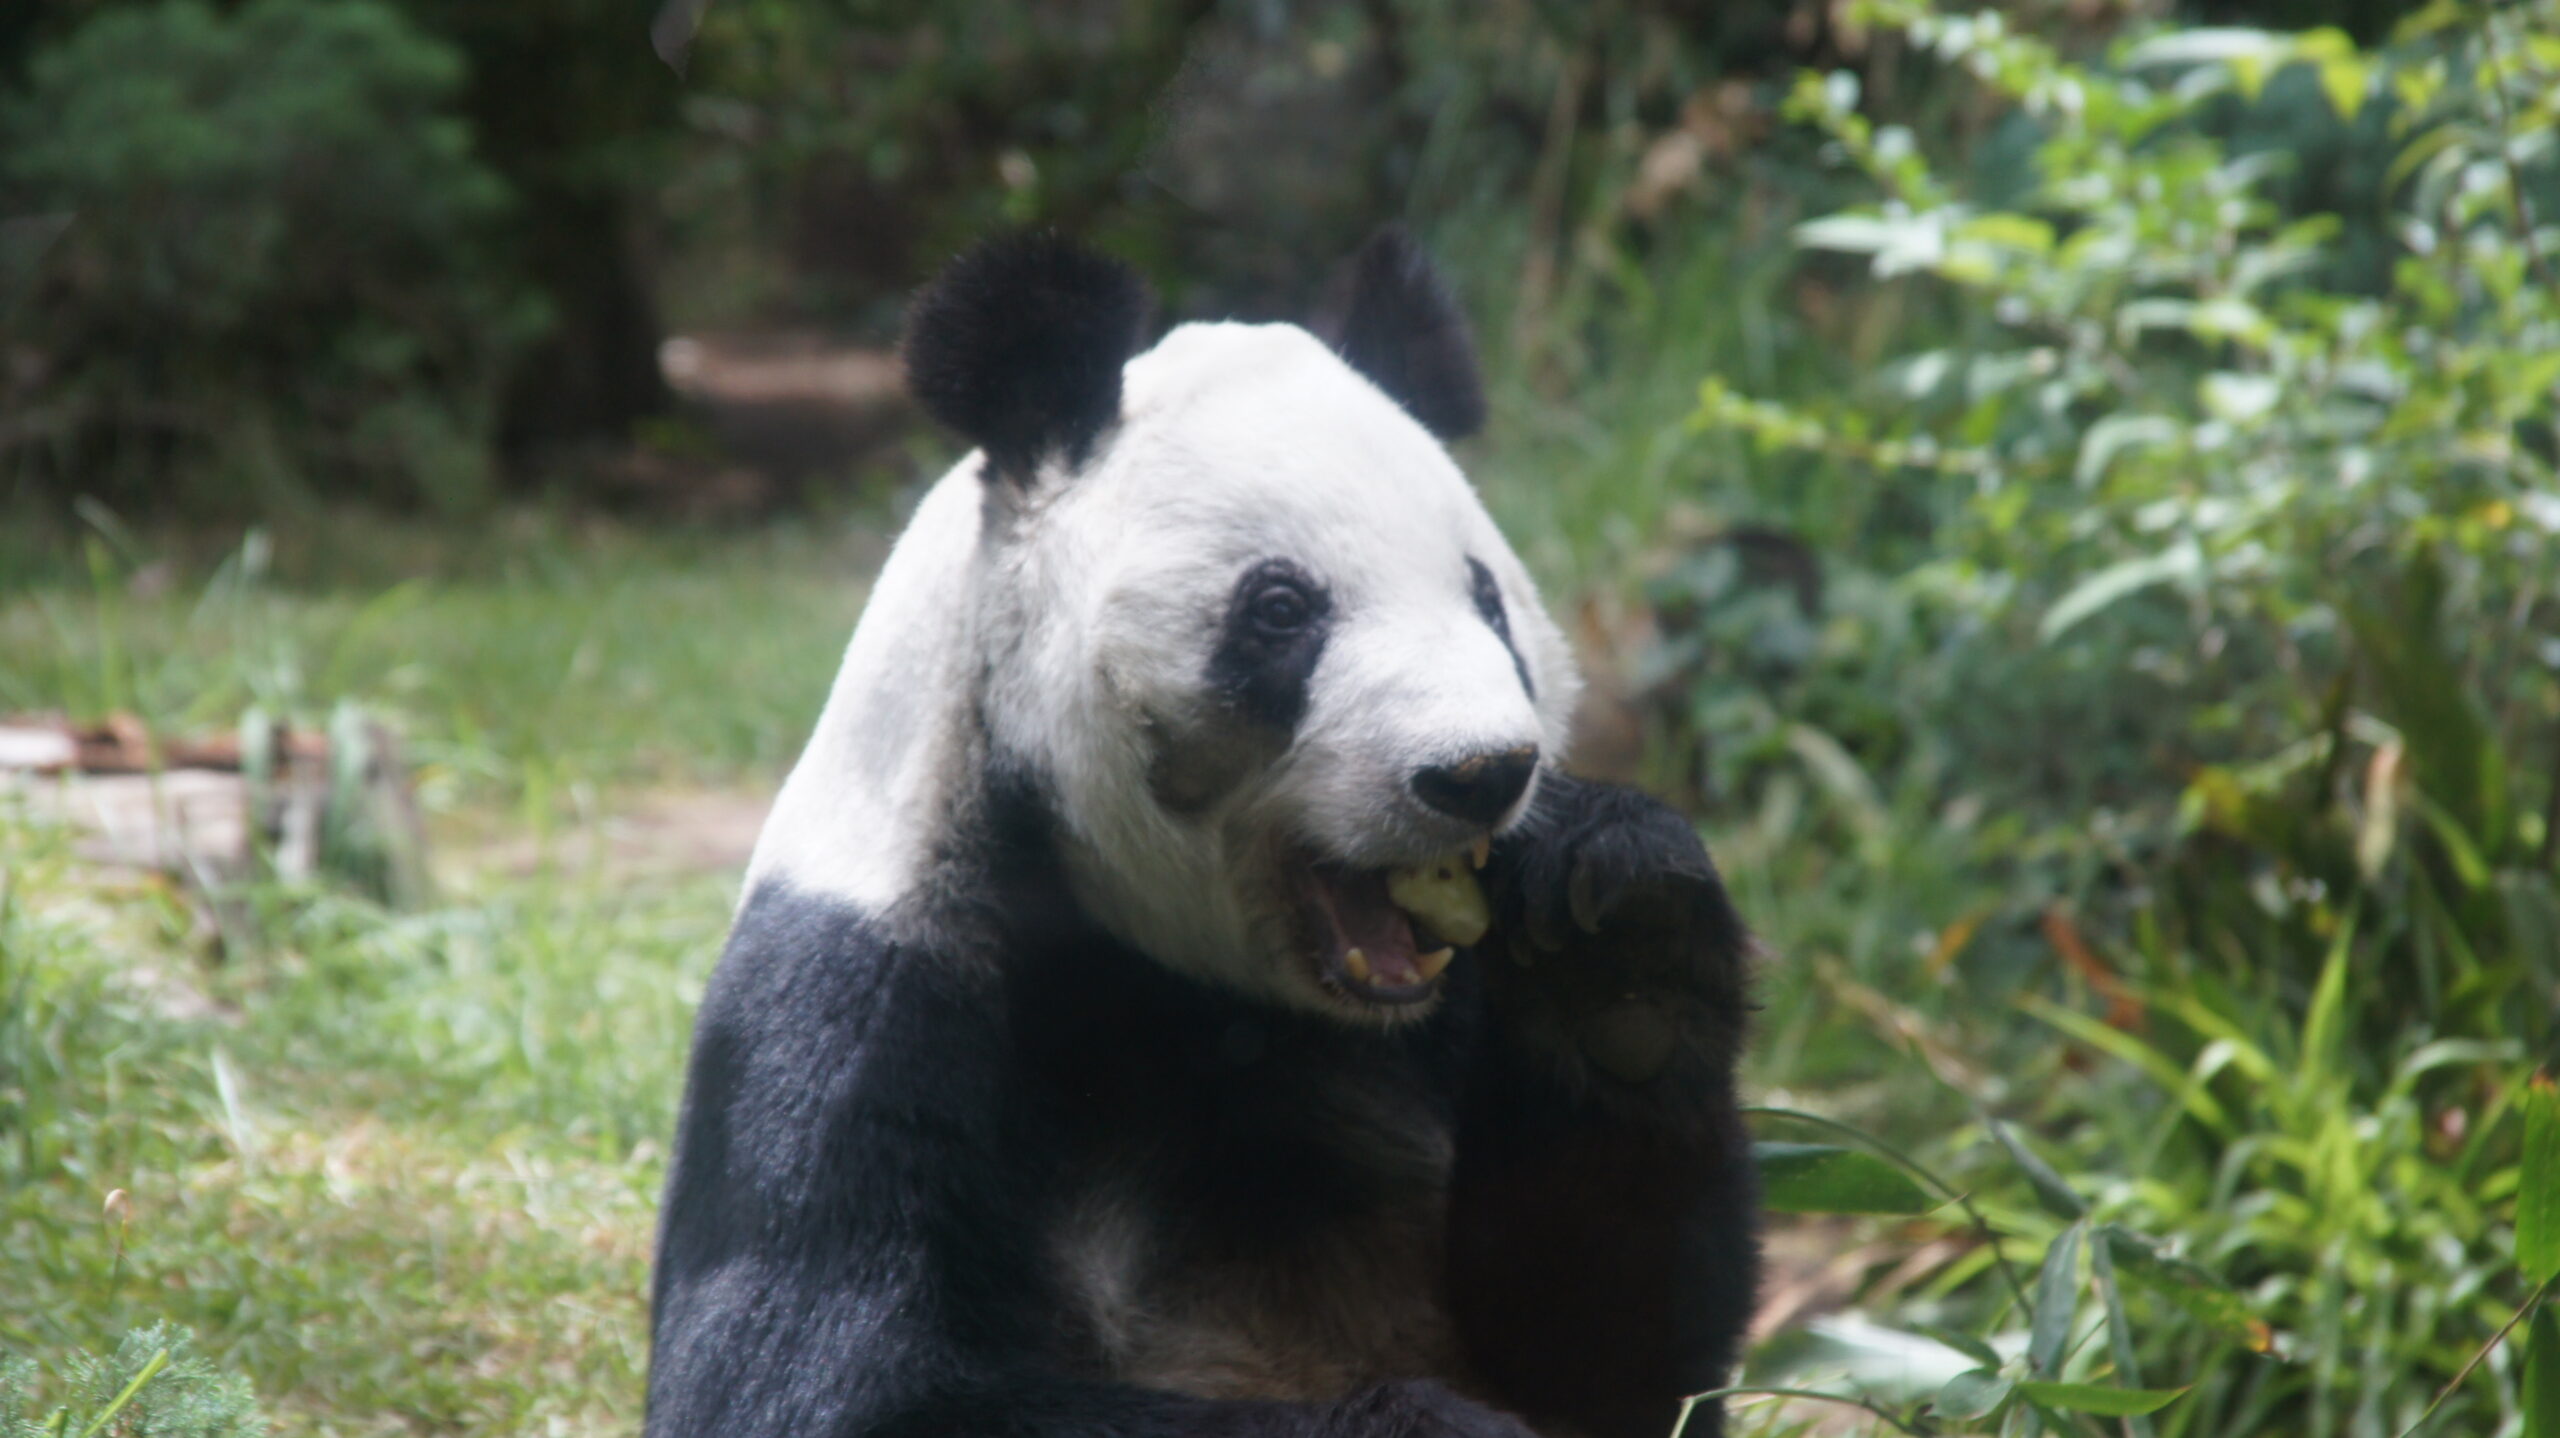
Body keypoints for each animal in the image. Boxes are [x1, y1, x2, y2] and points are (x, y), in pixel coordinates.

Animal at [645, 230, 1762, 1438]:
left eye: (1486, 600)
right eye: (1280, 610)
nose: (1478, 773)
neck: (1200, 989)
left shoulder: (1444, 1010)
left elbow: (1607, 1353)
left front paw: (1616, 948)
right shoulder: (869, 980)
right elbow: (820, 1382)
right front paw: (1418, 1421)